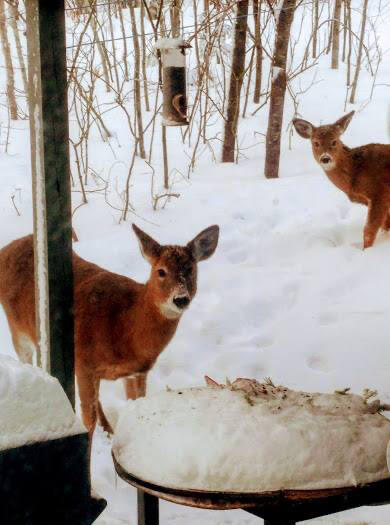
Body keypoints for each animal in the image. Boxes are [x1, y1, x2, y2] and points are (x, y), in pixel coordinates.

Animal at [0, 223, 219, 436]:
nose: (180, 298)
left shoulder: (136, 372)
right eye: (161, 271)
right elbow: (88, 421)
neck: (124, 327)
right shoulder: (84, 362)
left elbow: (135, 405)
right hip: (17, 328)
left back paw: (108, 429)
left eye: (191, 269)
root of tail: (7, 247)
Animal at [290, 110, 390, 248]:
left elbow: (369, 230)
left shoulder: (380, 192)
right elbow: (385, 225)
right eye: (316, 143)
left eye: (334, 141)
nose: (325, 158)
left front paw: (365, 251)